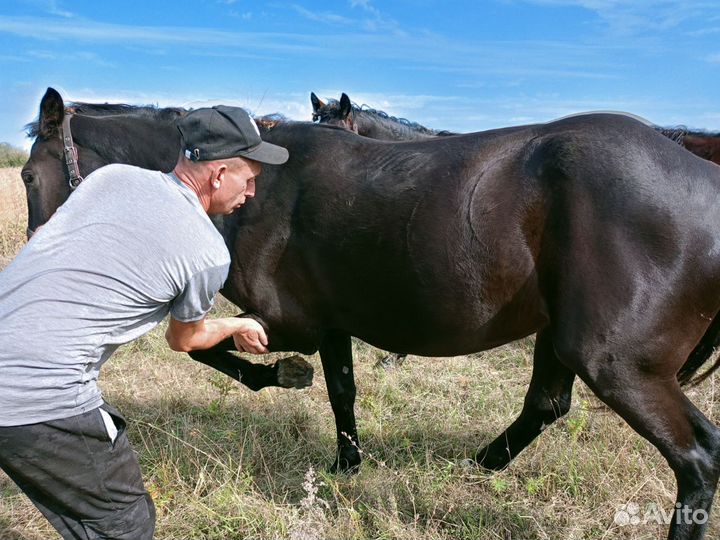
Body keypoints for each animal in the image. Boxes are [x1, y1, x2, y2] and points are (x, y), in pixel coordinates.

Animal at [19, 86, 720, 536]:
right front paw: (347, 464)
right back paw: (480, 465)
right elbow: (341, 390)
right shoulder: (331, 321)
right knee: (548, 407)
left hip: (616, 363)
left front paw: (282, 377)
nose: (35, 252)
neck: (255, 185)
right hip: (562, 336)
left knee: (697, 459)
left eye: (27, 176)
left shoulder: (291, 321)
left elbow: (208, 351)